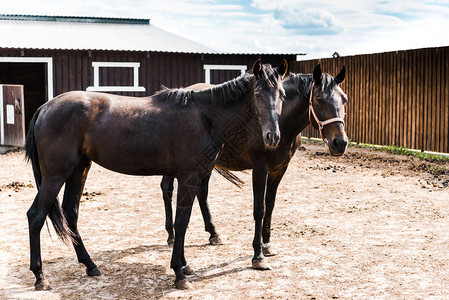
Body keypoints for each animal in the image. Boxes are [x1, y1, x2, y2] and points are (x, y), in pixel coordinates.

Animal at [25, 59, 288, 290]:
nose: (273, 137)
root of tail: (45, 108)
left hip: (79, 169)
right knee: (36, 216)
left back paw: (90, 265)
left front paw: (184, 265)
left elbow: (184, 221)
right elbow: (181, 223)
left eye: (282, 94)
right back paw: (40, 277)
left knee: (71, 213)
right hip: (55, 175)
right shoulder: (189, 177)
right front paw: (179, 273)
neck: (204, 116)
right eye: (257, 94)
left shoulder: (191, 178)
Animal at [160, 63, 346, 270]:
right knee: (167, 189)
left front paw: (267, 244)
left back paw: (213, 233)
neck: (279, 120)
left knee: (201, 193)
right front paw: (258, 255)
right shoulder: (259, 168)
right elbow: (259, 209)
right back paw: (171, 235)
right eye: (319, 99)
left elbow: (270, 205)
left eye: (344, 100)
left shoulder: (279, 169)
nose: (340, 143)